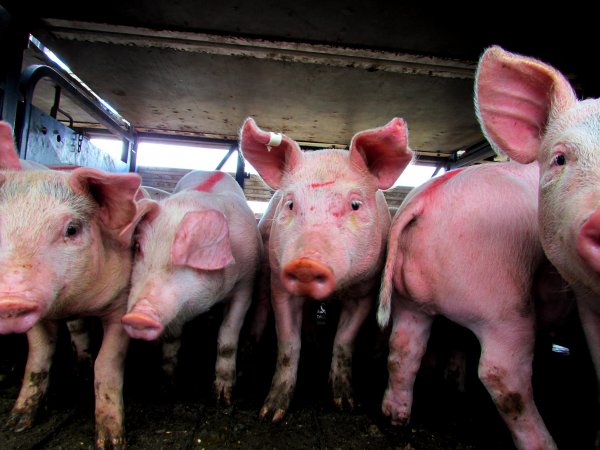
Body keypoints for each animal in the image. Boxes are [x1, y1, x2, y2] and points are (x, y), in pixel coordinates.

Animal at [0, 121, 141, 448]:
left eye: (72, 229)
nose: (9, 300)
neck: (74, 299)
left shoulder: (122, 303)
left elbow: (107, 363)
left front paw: (111, 441)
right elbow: (38, 357)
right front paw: (17, 425)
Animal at [120, 170, 262, 404]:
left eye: (186, 257)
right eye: (138, 247)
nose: (138, 316)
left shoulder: (246, 283)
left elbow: (227, 338)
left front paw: (222, 398)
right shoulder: (177, 306)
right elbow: (173, 338)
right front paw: (168, 388)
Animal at [239, 117, 412, 422]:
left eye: (355, 204)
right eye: (290, 204)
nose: (305, 263)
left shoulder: (364, 291)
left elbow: (344, 341)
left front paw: (346, 404)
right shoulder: (281, 286)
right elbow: (288, 344)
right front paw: (270, 414)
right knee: (261, 304)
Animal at [378, 162, 560, 450]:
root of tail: (425, 200)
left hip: (409, 302)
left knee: (403, 348)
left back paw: (397, 418)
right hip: (502, 303)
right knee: (501, 373)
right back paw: (544, 444)